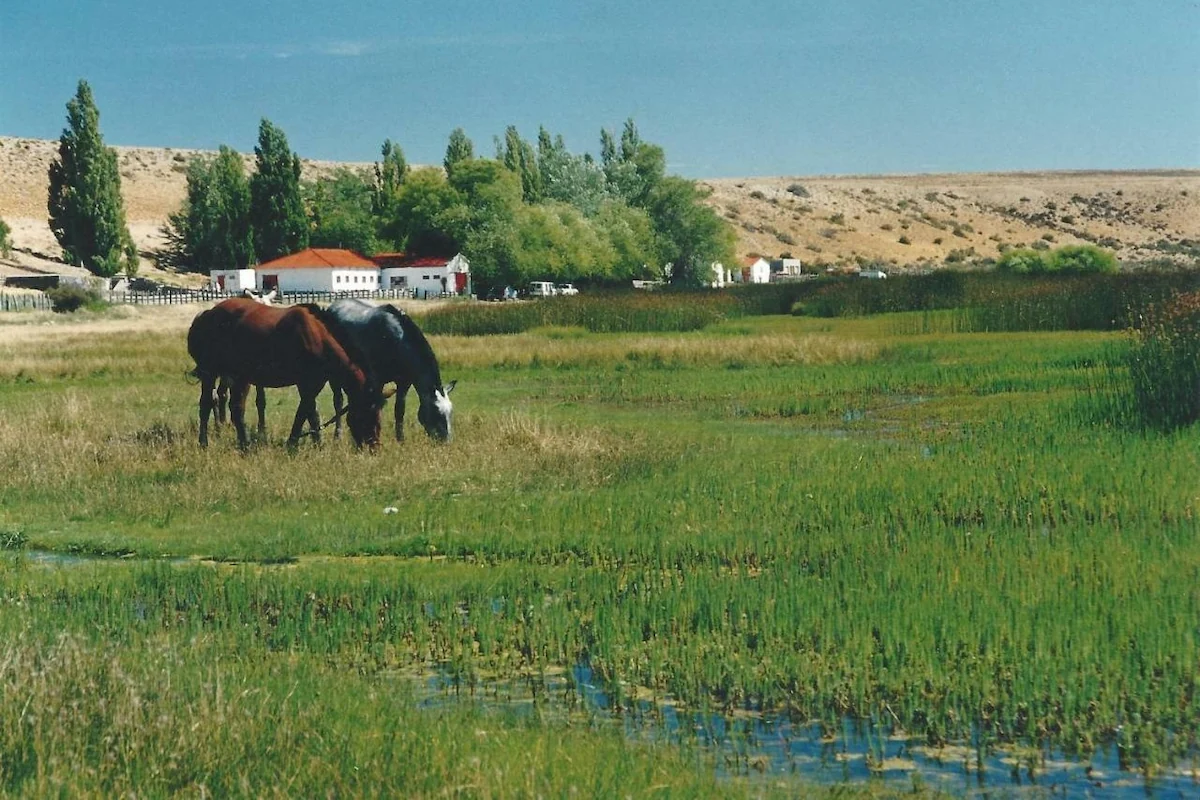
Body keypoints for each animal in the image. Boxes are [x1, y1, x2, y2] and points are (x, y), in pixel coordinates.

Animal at [187, 298, 383, 449]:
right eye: (369, 414)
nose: (373, 447)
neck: (319, 338)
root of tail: (206, 315)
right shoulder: (306, 383)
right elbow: (305, 413)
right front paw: (294, 443)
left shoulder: (314, 383)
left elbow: (311, 413)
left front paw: (317, 443)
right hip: (213, 373)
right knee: (210, 405)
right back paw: (208, 443)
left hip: (238, 376)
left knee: (231, 407)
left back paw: (242, 444)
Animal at [325, 298, 456, 441]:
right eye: (436, 411)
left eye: (450, 412)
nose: (446, 441)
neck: (395, 340)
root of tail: (332, 307)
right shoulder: (377, 382)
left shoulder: (404, 383)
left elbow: (399, 410)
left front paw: (400, 439)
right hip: (334, 376)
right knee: (338, 402)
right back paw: (338, 436)